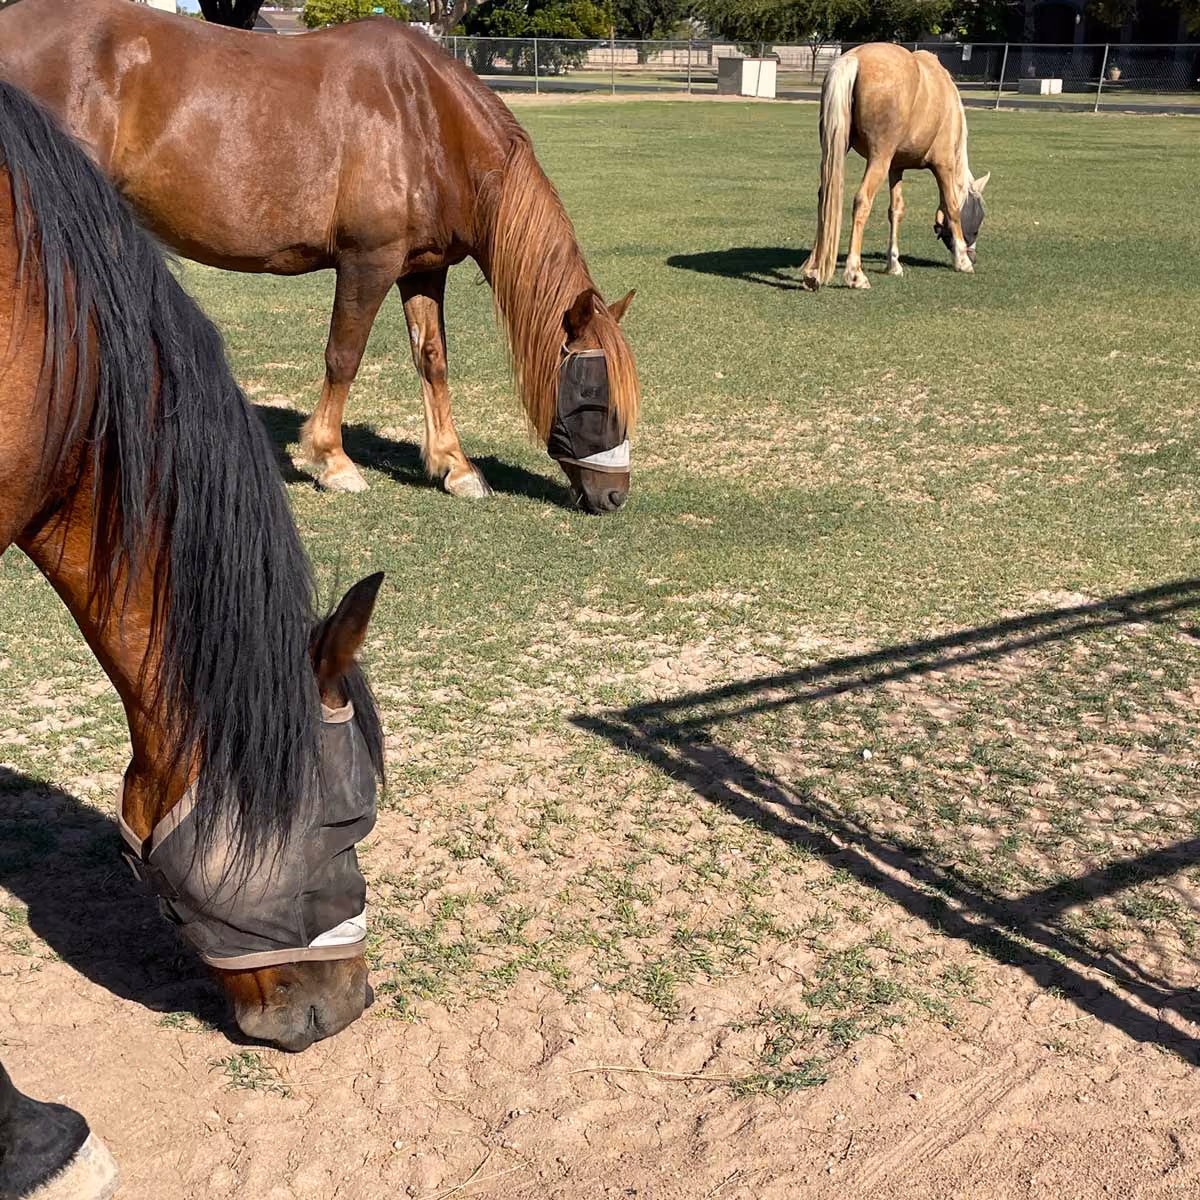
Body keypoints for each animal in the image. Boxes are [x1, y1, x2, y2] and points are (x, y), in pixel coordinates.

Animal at [0, 0, 640, 513]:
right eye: (593, 394)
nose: (614, 497)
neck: (425, 117)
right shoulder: (368, 262)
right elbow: (344, 356)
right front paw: (333, 461)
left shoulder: (423, 268)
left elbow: (432, 359)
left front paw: (455, 466)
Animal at [799, 43, 991, 291]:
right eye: (977, 223)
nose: (973, 255)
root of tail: (854, 58)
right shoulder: (944, 164)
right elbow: (953, 207)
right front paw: (963, 261)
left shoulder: (895, 168)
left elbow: (896, 211)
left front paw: (893, 264)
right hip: (878, 157)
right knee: (862, 200)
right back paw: (855, 274)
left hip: (835, 149)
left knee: (825, 198)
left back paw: (813, 269)